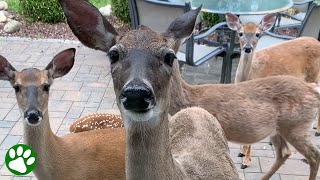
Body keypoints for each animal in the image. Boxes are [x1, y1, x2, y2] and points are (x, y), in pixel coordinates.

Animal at [226, 12, 320, 169]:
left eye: (258, 34)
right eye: (240, 33)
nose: (247, 48)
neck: (249, 76)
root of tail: (316, 41)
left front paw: (246, 161)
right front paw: (241, 152)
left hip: (314, 75)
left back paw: (317, 130)